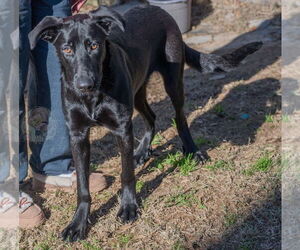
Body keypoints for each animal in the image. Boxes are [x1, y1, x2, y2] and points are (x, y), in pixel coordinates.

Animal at [29, 0, 262, 241]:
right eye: (66, 49)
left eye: (94, 46)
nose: (85, 85)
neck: (93, 96)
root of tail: (157, 9)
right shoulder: (78, 135)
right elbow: (82, 187)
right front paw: (78, 223)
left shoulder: (122, 129)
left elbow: (126, 174)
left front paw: (129, 207)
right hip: (137, 91)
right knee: (152, 117)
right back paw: (142, 152)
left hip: (172, 81)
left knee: (179, 118)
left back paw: (192, 150)